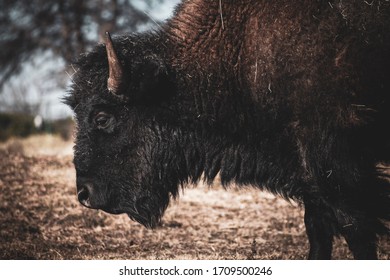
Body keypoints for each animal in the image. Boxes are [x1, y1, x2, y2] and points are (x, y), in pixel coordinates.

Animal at [65, 0, 390, 260]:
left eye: (102, 118)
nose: (84, 193)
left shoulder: (335, 162)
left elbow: (355, 228)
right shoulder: (306, 169)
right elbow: (318, 227)